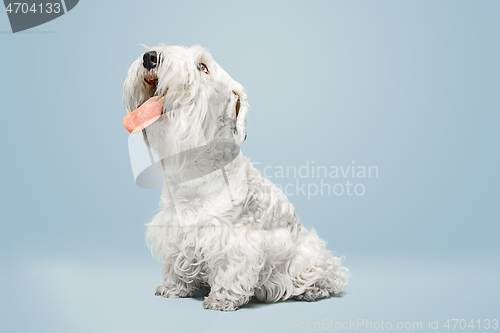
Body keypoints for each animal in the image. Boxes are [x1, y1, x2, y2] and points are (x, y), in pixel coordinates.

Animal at [123, 42, 350, 310]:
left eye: (203, 66)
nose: (150, 57)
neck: (195, 171)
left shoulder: (234, 238)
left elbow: (229, 268)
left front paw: (220, 299)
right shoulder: (175, 232)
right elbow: (176, 263)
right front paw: (173, 288)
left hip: (310, 256)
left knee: (329, 276)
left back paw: (311, 290)